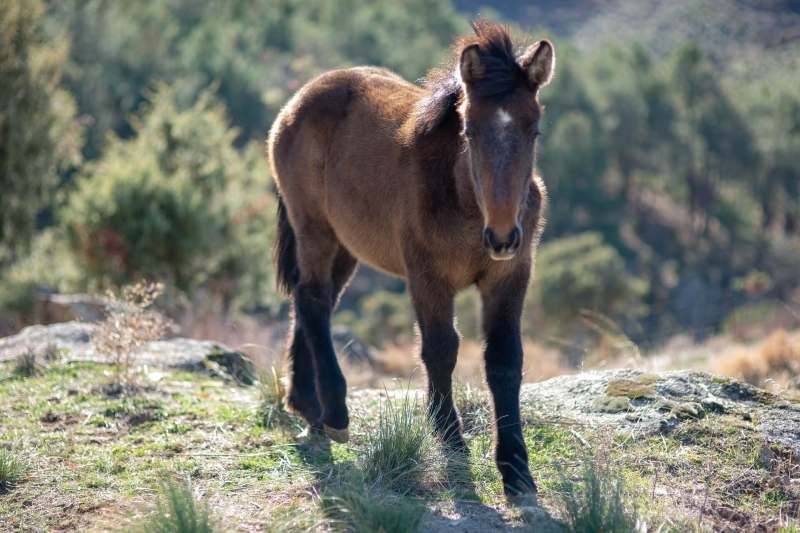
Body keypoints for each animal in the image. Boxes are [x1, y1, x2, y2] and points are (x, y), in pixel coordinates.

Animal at [268, 18, 556, 496]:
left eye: (534, 131)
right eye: (468, 131)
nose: (501, 237)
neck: (463, 202)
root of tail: (298, 100)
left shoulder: (509, 277)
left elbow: (504, 361)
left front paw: (515, 466)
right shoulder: (427, 278)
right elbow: (440, 350)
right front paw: (450, 438)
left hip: (348, 246)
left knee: (312, 302)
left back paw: (308, 405)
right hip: (314, 229)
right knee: (312, 300)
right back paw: (335, 413)